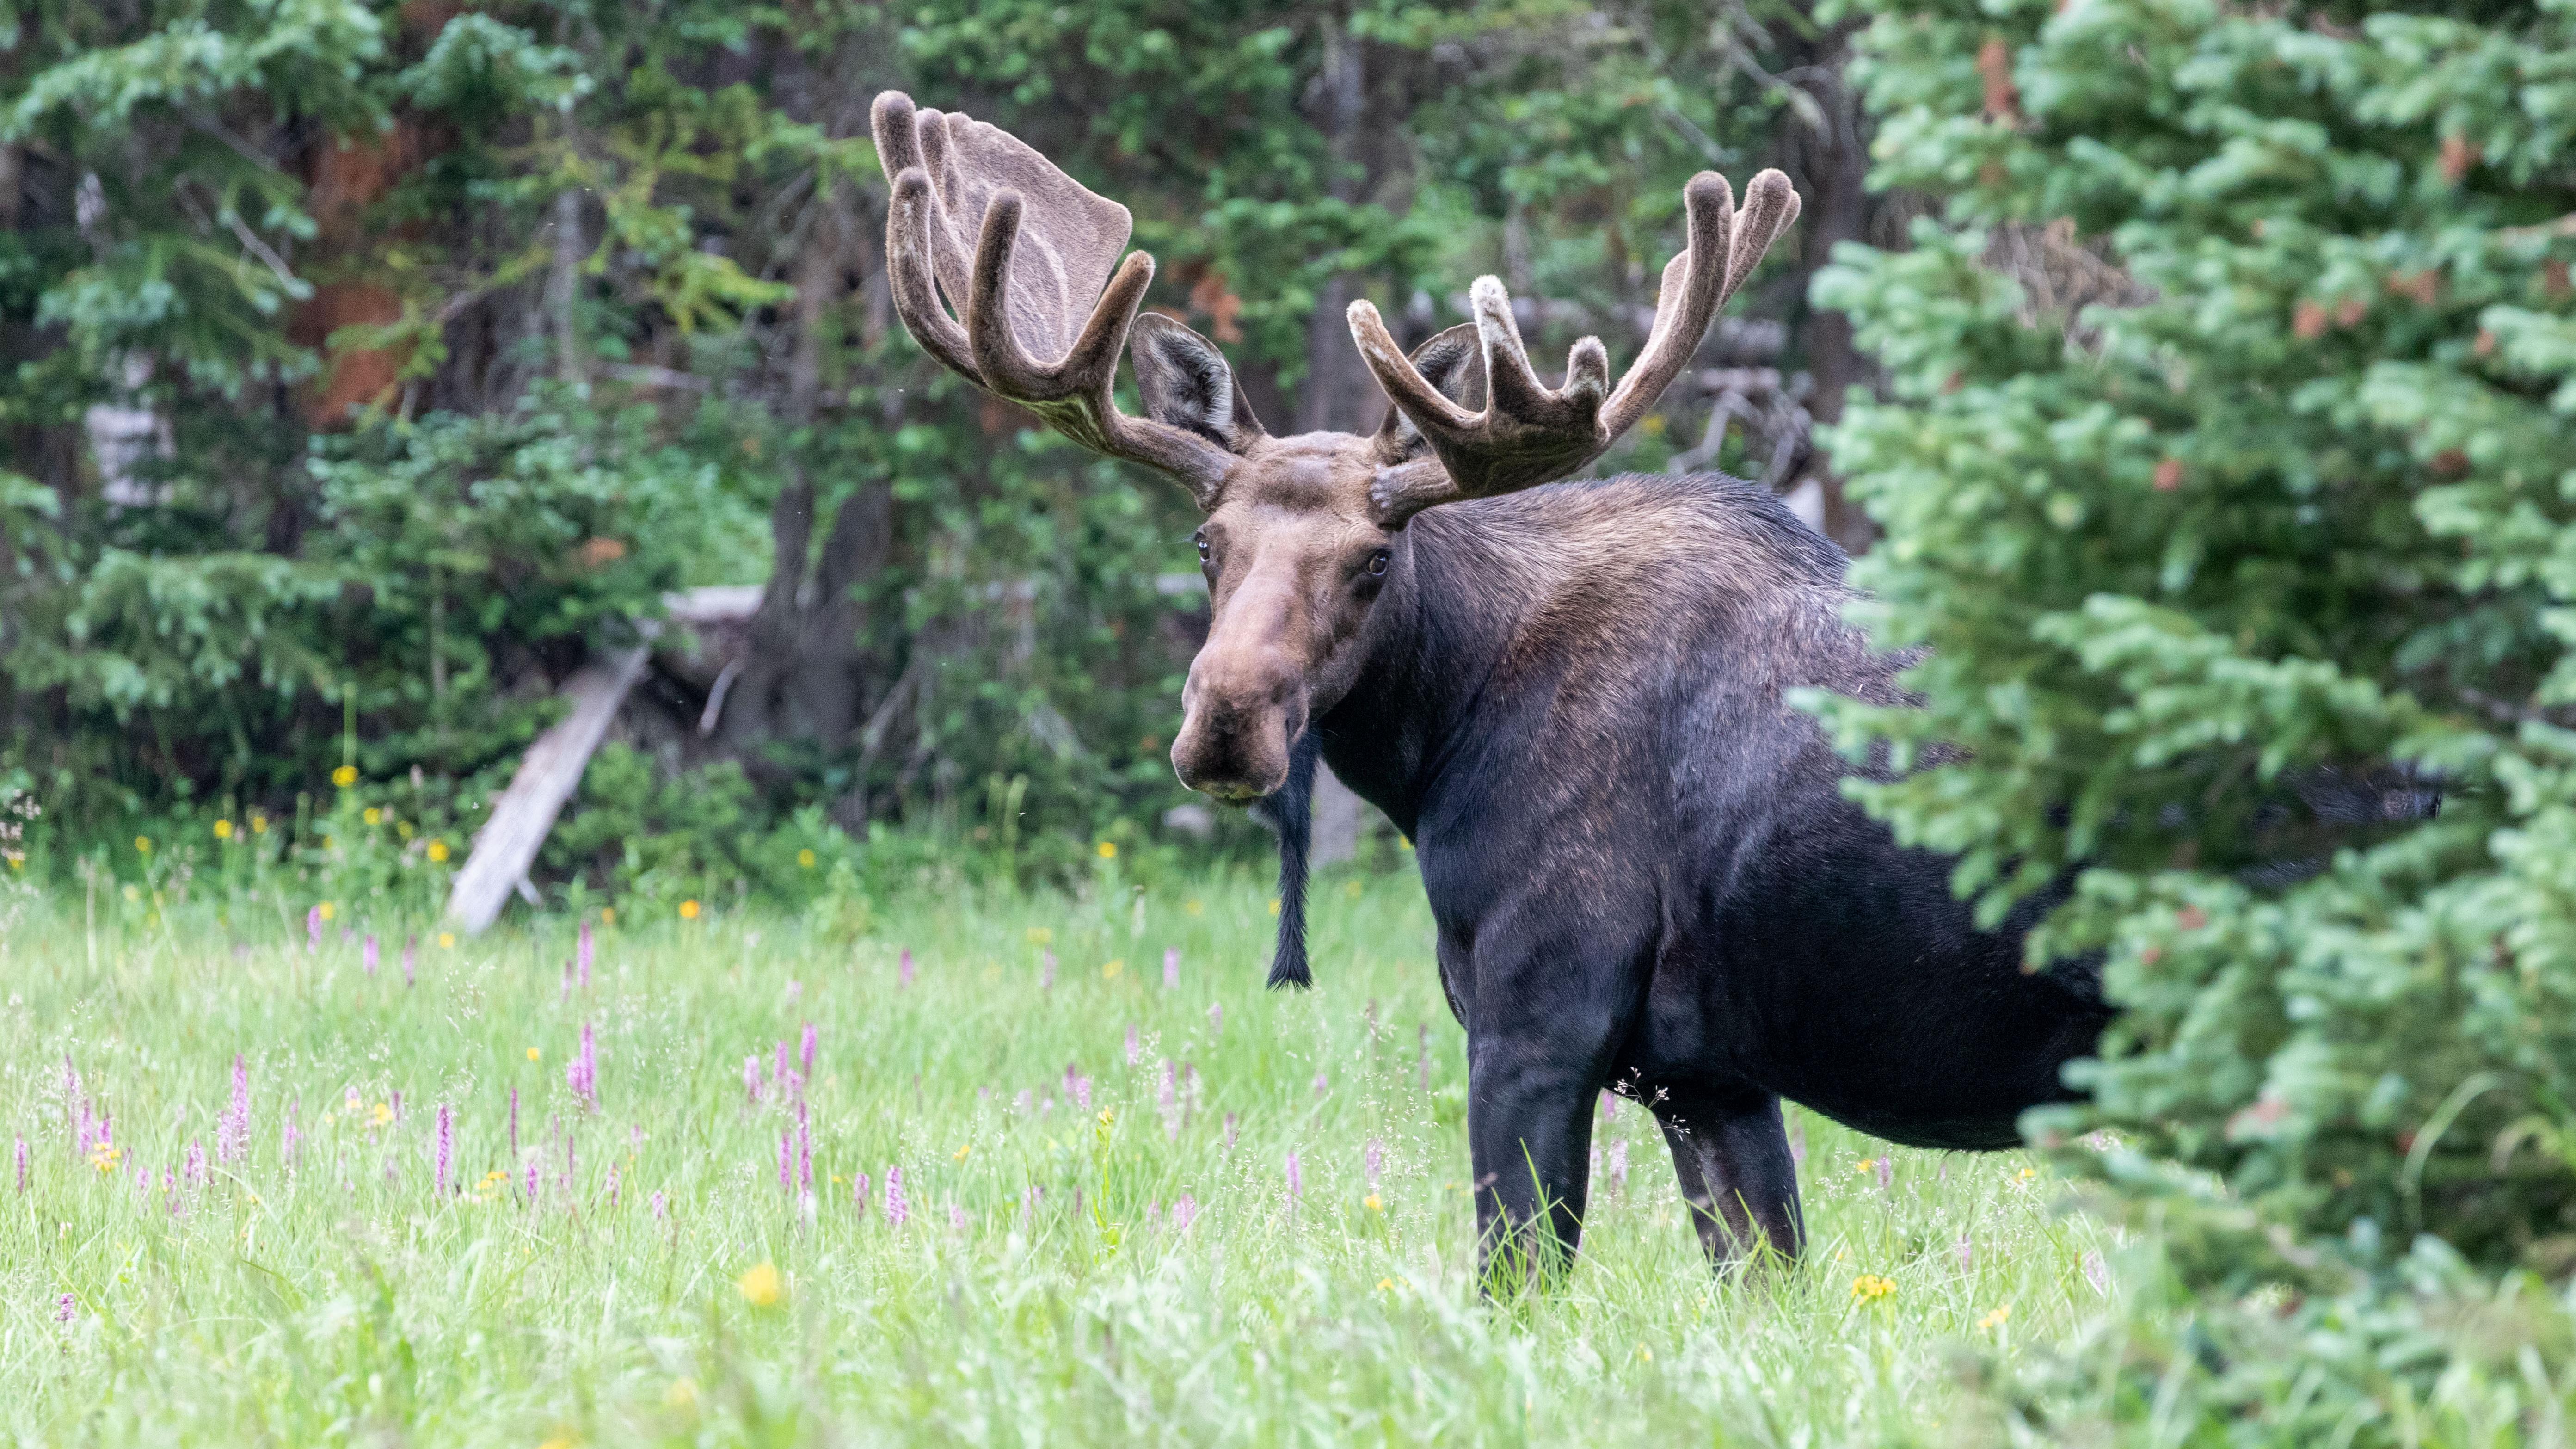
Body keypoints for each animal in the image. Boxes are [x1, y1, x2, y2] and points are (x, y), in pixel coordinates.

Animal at [868, 92, 2113, 1284]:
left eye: (1373, 560)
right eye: (1204, 542)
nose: (1224, 725)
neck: (1439, 746)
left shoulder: (1535, 1019)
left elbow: (1514, 1279)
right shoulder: (1708, 1078)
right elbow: (1765, 1274)